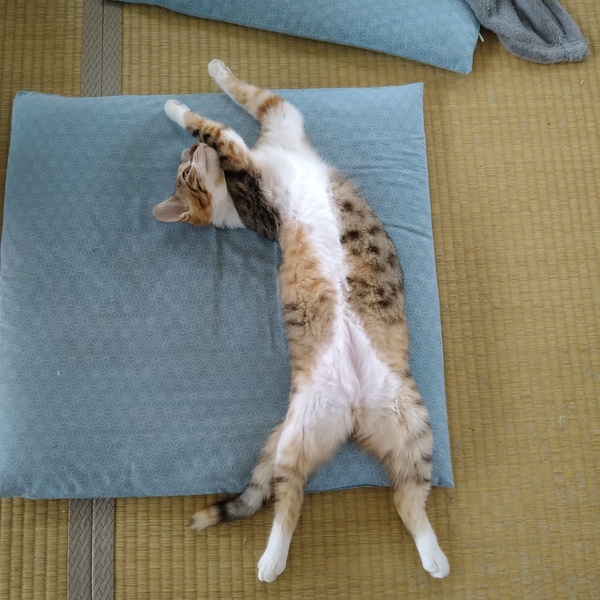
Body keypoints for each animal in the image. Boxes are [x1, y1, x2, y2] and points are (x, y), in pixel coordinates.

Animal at [153, 59, 449, 583]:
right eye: (186, 171)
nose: (189, 153)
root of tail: (353, 411)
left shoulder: (280, 117)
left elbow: (249, 96)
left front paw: (215, 72)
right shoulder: (251, 183)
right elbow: (215, 128)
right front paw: (176, 109)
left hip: (411, 423)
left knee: (405, 499)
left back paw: (433, 557)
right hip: (304, 432)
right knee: (289, 499)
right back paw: (271, 560)